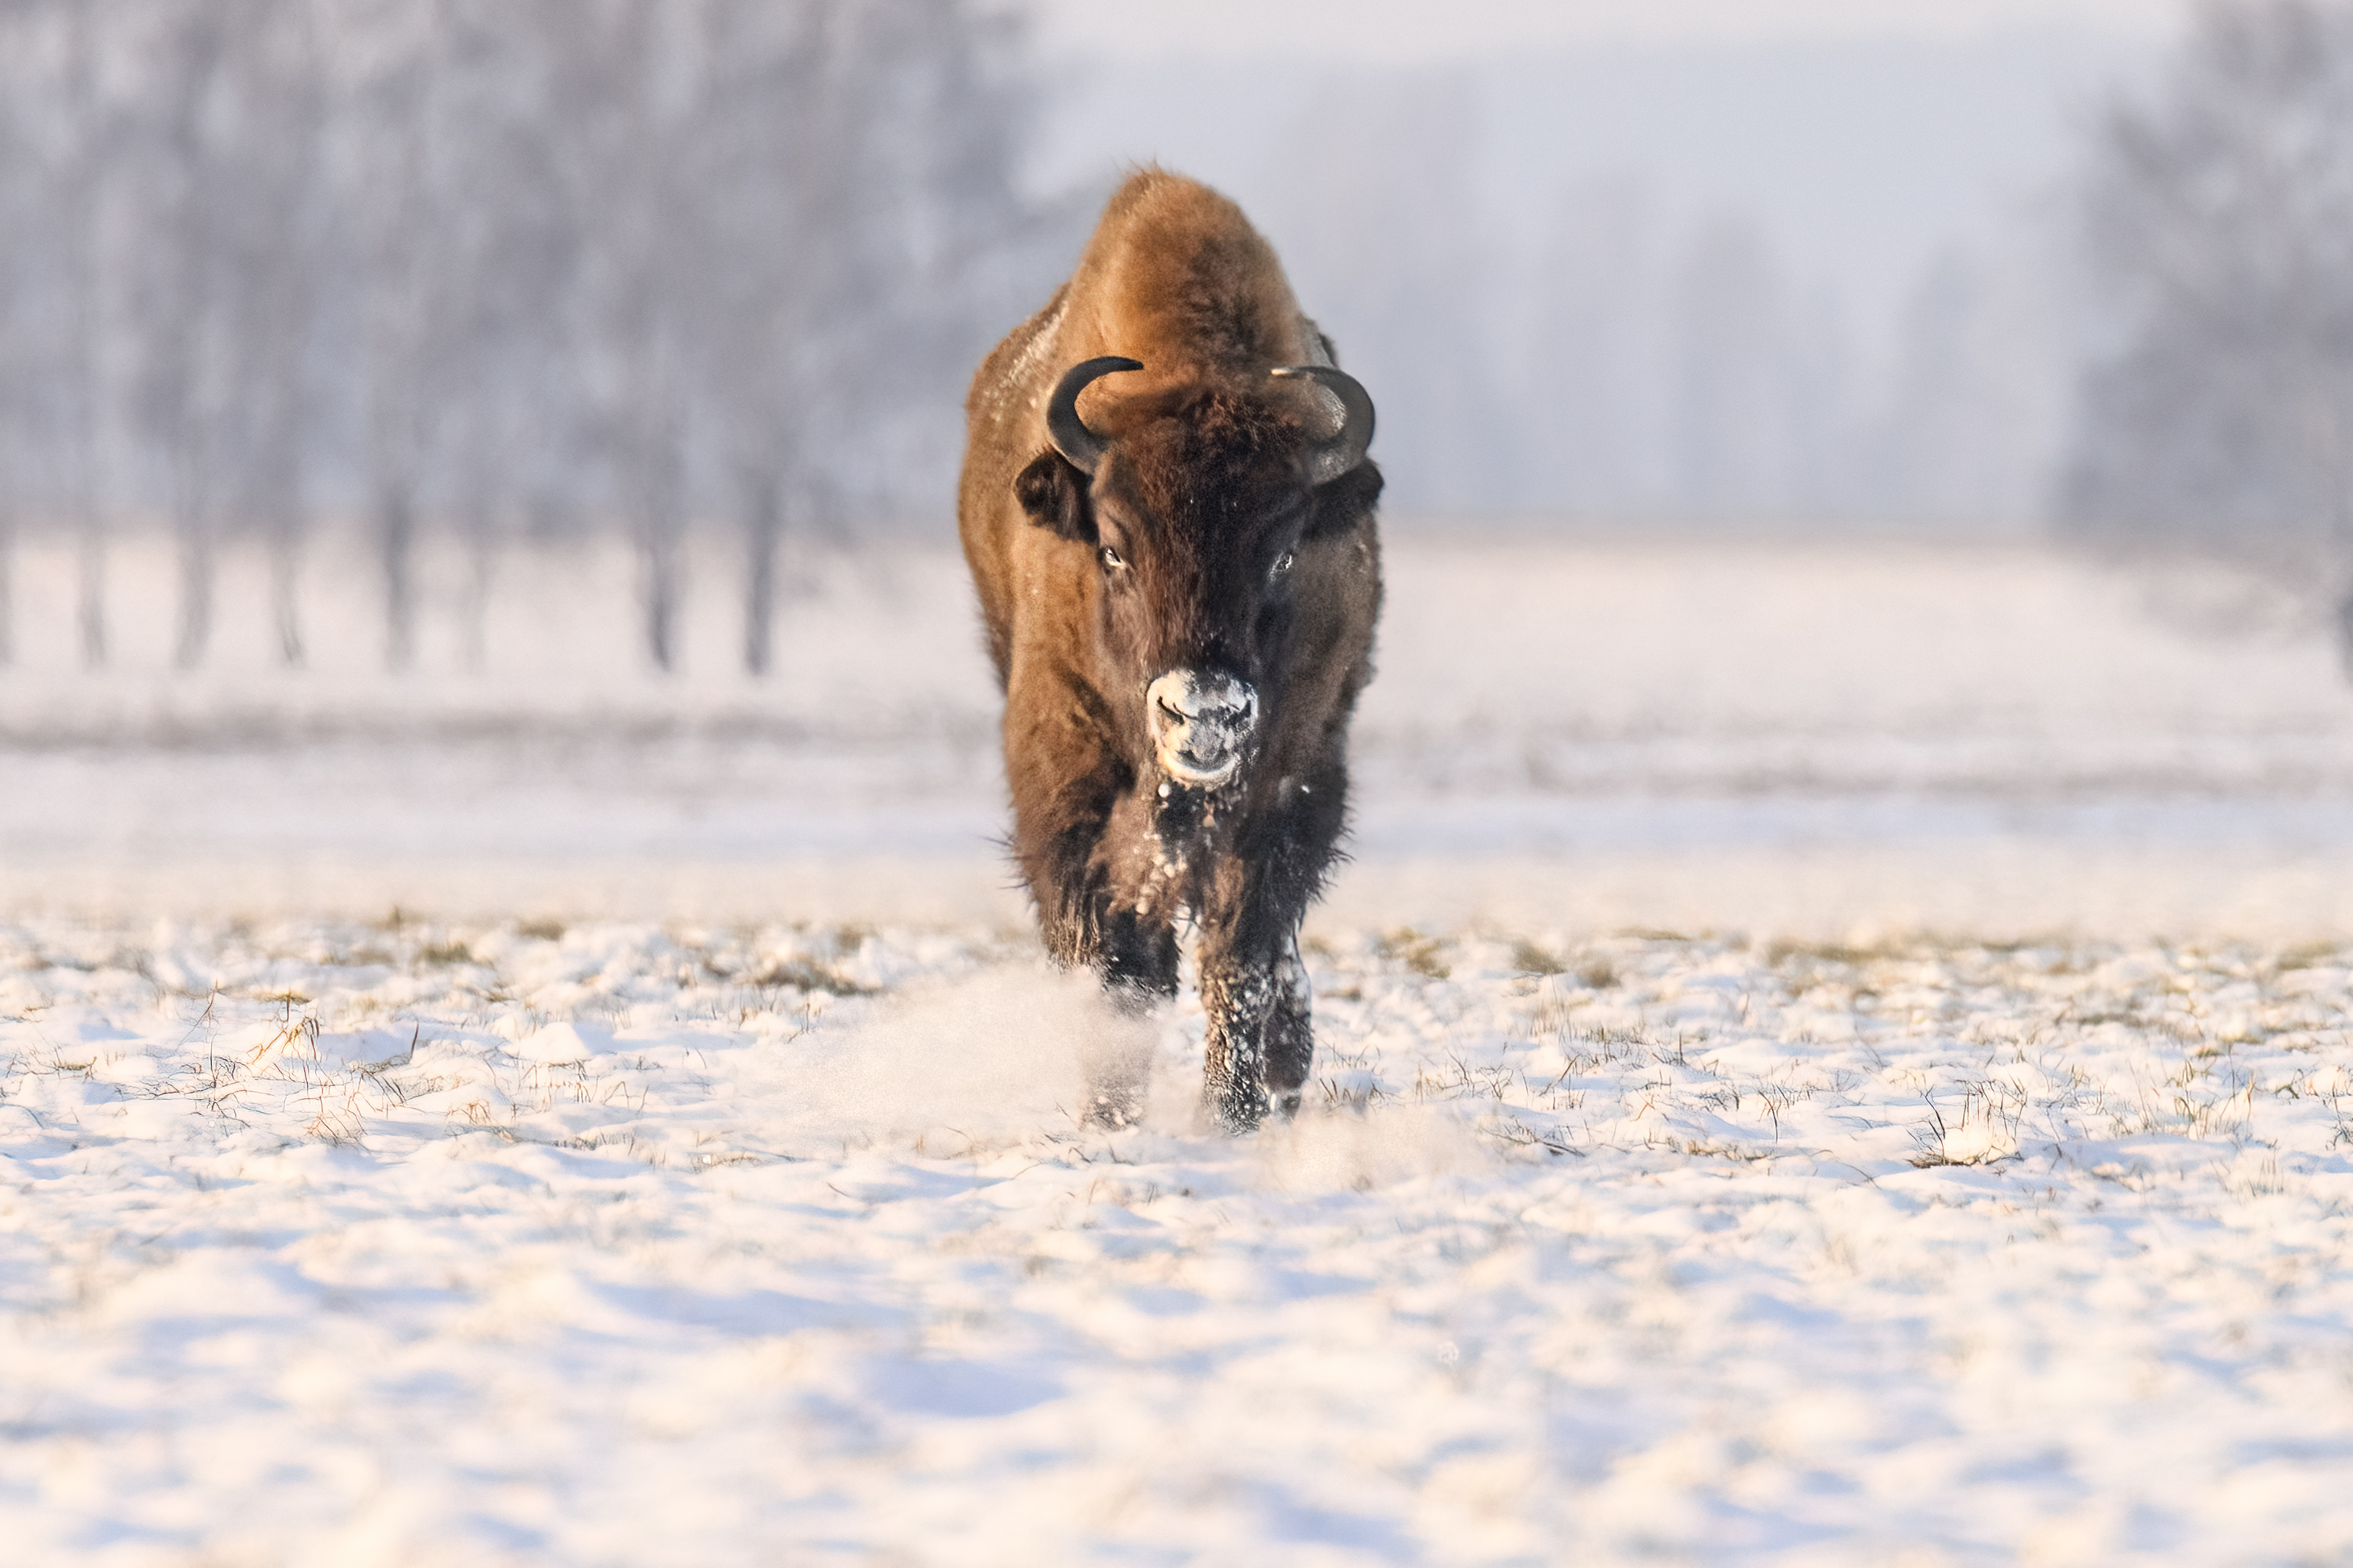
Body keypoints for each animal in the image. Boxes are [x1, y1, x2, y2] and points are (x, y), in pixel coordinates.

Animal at [950, 168, 1374, 1125]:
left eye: (1284, 552)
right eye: (1113, 548)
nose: (1203, 712)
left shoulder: (1289, 773)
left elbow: (1240, 953)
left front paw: (1233, 1111)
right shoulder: (1066, 772)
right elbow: (1113, 955)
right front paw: (1110, 1110)